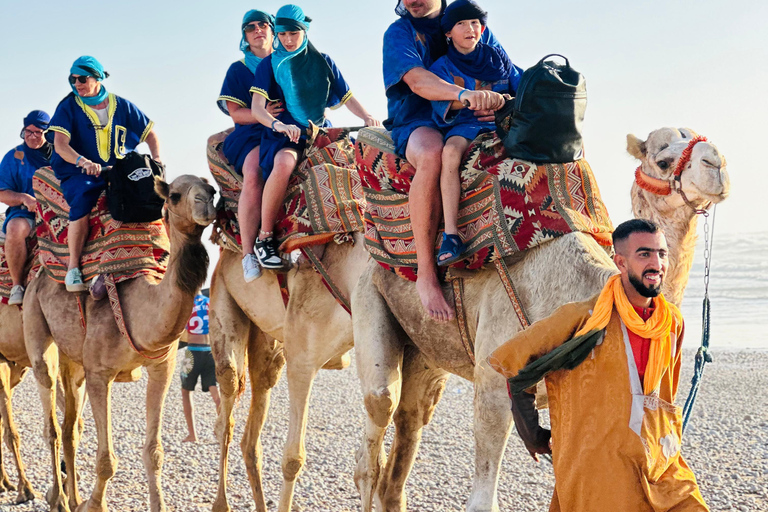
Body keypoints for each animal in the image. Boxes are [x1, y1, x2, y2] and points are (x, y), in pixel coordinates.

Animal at [23, 176, 216, 512]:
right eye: (175, 195)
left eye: (212, 187)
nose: (206, 202)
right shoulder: (100, 374)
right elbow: (106, 461)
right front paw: (94, 505)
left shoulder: (162, 369)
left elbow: (154, 453)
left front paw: (157, 505)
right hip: (36, 324)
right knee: (52, 424)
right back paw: (57, 498)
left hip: (73, 361)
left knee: (71, 427)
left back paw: (72, 497)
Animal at [208, 231, 368, 512]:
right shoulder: (302, 361)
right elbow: (293, 459)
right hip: (223, 296)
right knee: (226, 410)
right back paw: (221, 504)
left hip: (268, 340)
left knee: (251, 433)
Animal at [352, 126, 728, 510]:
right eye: (663, 160)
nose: (716, 162)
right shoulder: (493, 381)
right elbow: (483, 500)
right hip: (368, 296)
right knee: (376, 428)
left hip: (425, 349)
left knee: (408, 428)